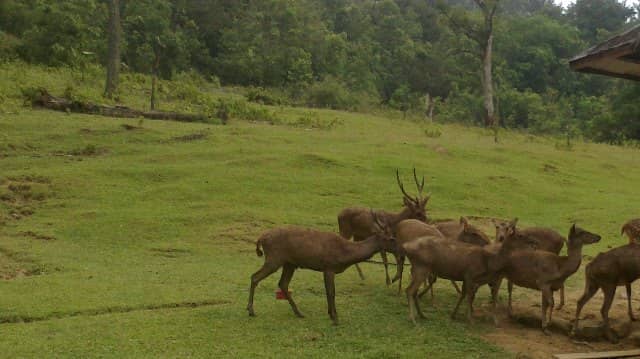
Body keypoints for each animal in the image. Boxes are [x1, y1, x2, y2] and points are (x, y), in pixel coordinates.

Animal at [246, 211, 396, 326]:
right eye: (391, 239)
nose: (399, 249)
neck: (345, 253)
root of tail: (261, 238)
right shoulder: (329, 266)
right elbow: (331, 292)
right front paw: (335, 318)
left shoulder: (325, 269)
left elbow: (328, 291)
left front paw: (330, 314)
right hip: (274, 259)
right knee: (255, 276)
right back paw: (251, 310)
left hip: (289, 263)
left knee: (282, 283)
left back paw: (299, 312)